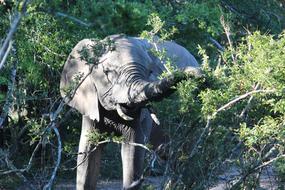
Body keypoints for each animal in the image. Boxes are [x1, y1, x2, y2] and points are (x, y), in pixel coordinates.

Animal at [58, 34, 199, 190]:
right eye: (108, 72)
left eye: (150, 72)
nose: (201, 76)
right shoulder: (91, 103)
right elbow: (87, 151)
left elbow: (133, 150)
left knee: (182, 156)